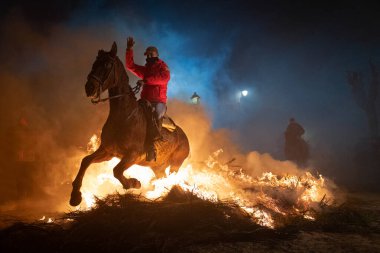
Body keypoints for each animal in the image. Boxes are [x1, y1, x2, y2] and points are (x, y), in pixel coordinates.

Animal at [70, 42, 190, 207]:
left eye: (107, 64)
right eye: (95, 63)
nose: (89, 88)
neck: (125, 116)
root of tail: (184, 137)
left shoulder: (133, 155)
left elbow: (116, 171)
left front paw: (134, 183)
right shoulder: (108, 151)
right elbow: (85, 161)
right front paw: (75, 196)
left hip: (176, 164)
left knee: (172, 176)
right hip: (157, 166)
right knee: (162, 177)